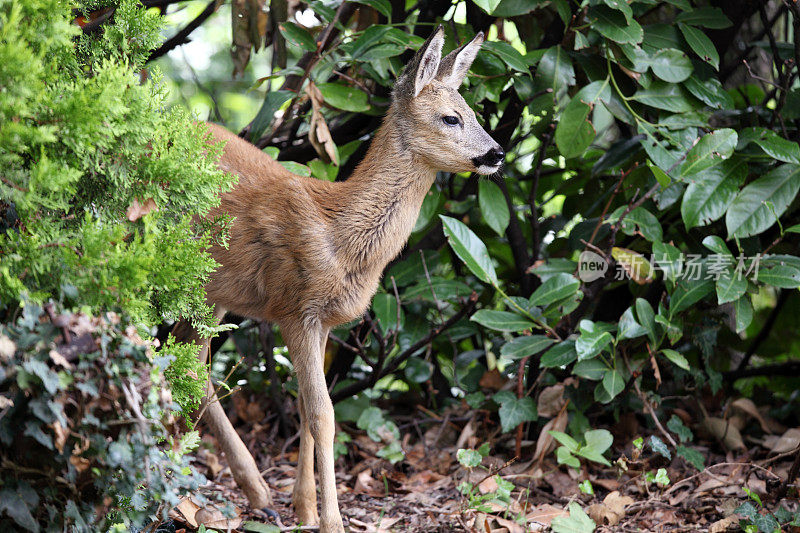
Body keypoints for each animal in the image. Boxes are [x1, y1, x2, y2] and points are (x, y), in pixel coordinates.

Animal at [180, 26, 504, 532]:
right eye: (451, 118)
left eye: (473, 113)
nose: (497, 153)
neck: (340, 231)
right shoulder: (295, 308)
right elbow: (323, 414)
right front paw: (331, 519)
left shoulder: (324, 320)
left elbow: (303, 406)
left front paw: (304, 508)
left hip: (212, 290)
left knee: (192, 363)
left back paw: (254, 492)